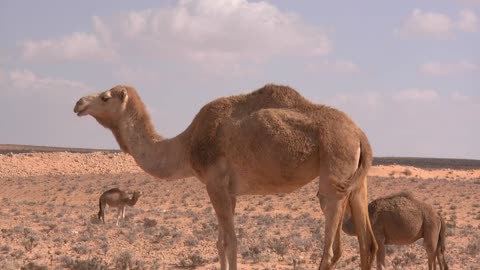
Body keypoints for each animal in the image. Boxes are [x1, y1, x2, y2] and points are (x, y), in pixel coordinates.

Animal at [73, 84, 376, 270]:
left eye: (105, 96)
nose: (78, 103)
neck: (186, 145)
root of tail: (359, 132)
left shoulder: (215, 183)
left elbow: (230, 243)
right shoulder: (228, 191)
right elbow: (221, 243)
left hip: (335, 167)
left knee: (332, 246)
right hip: (357, 179)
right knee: (368, 243)